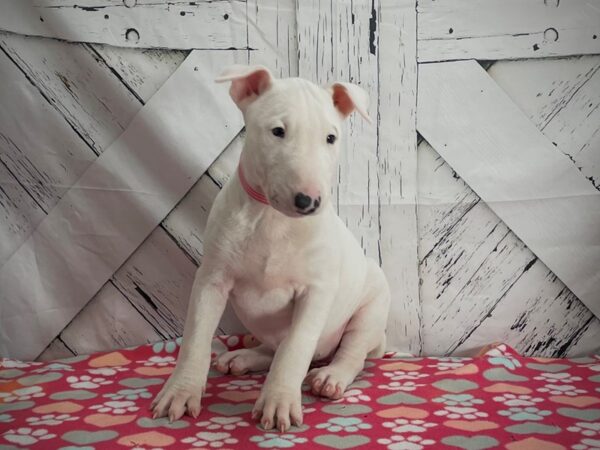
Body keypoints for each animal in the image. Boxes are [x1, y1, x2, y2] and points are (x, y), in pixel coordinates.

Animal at [152, 65, 392, 430]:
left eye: (331, 138)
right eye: (278, 131)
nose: (309, 202)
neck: (272, 218)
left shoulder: (316, 291)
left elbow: (295, 347)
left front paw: (278, 402)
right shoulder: (211, 280)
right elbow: (195, 338)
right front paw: (180, 392)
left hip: (371, 309)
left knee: (351, 353)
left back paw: (330, 377)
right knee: (273, 346)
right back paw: (243, 357)